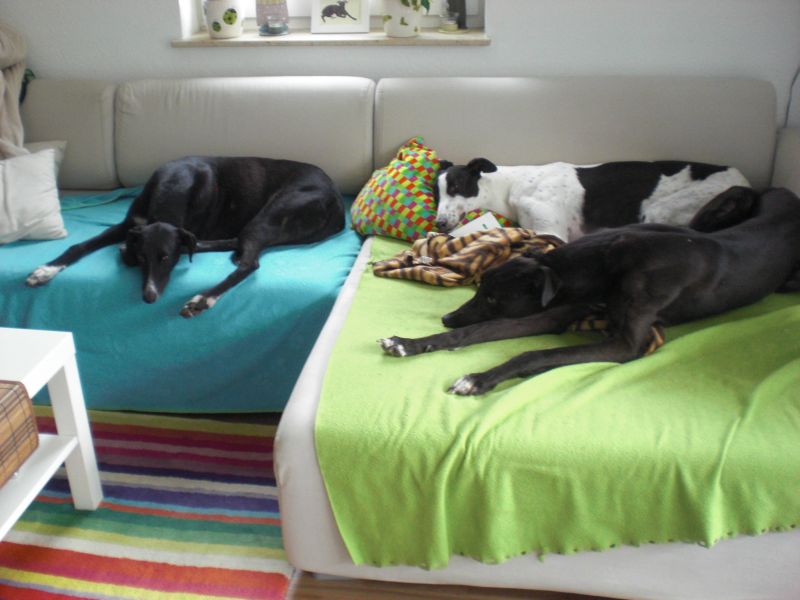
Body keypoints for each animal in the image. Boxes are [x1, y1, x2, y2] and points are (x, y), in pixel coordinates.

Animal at [26, 155, 345, 318]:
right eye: (143, 257)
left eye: (167, 258)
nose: (149, 297)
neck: (176, 183)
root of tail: (339, 206)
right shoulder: (130, 224)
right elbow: (80, 245)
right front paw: (45, 270)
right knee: (237, 244)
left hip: (273, 212)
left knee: (249, 262)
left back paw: (203, 299)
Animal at [380, 186, 800, 395]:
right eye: (479, 290)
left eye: (494, 298)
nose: (447, 316)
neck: (607, 262)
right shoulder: (556, 309)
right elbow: (477, 332)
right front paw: (409, 343)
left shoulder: (624, 344)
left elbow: (532, 353)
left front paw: (478, 380)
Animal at [433, 158, 749, 242]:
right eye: (436, 194)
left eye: (457, 185)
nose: (439, 223)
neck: (514, 185)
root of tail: (745, 184)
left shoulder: (552, 232)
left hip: (661, 210)